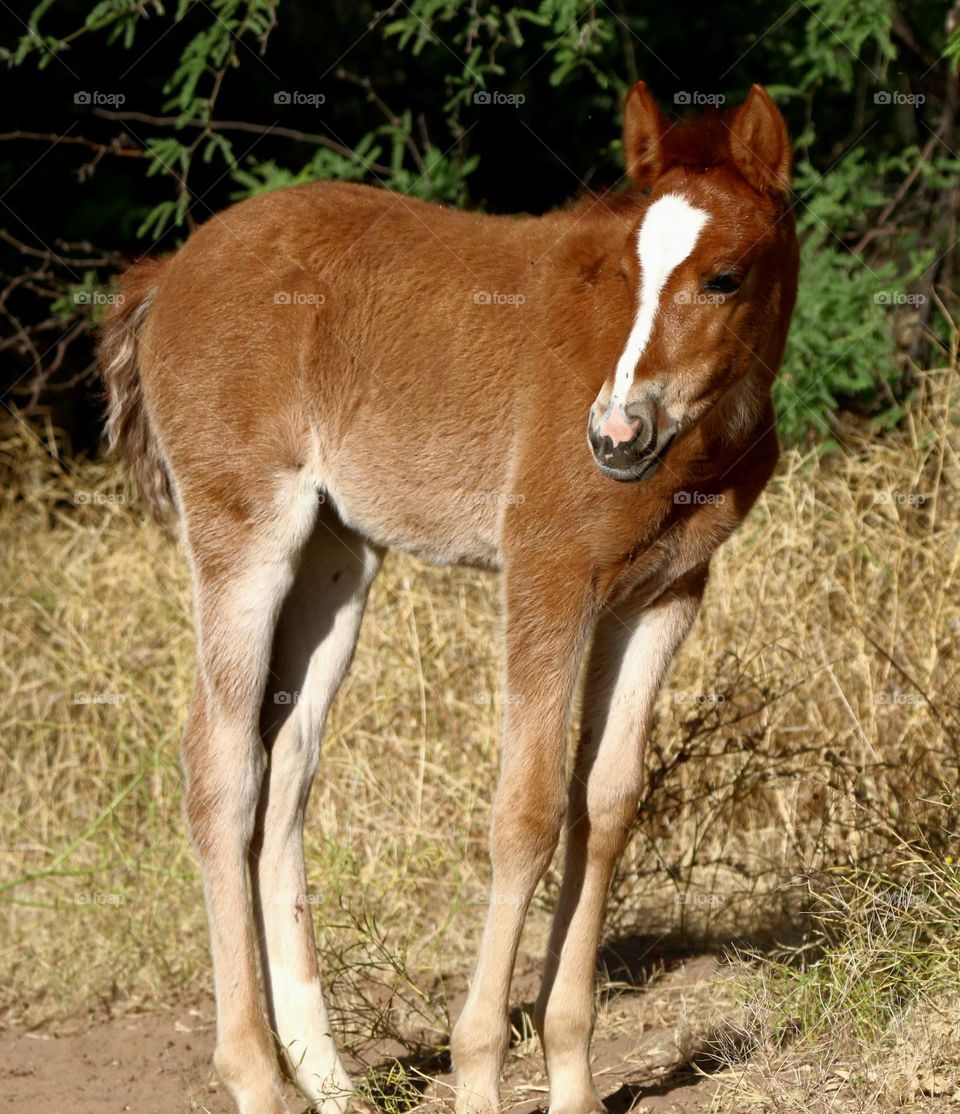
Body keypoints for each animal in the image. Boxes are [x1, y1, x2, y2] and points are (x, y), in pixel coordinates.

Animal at [101, 79, 798, 1114]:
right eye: (615, 274)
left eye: (725, 276)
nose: (615, 433)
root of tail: (169, 270)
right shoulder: (548, 575)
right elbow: (528, 813)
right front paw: (480, 1072)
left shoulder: (666, 593)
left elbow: (608, 801)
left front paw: (572, 1077)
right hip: (245, 532)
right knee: (219, 766)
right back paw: (257, 1073)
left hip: (337, 559)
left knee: (287, 768)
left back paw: (328, 1078)